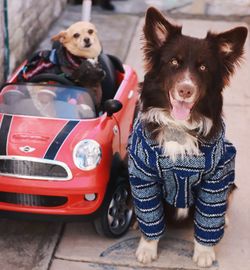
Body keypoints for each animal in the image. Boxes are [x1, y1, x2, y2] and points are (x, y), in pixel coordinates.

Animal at [129, 6, 248, 268]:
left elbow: (208, 218)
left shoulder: (217, 178)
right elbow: (150, 216)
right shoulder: (143, 175)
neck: (178, 127)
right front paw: (147, 248)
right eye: (174, 62)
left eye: (203, 68)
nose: (185, 90)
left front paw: (204, 252)